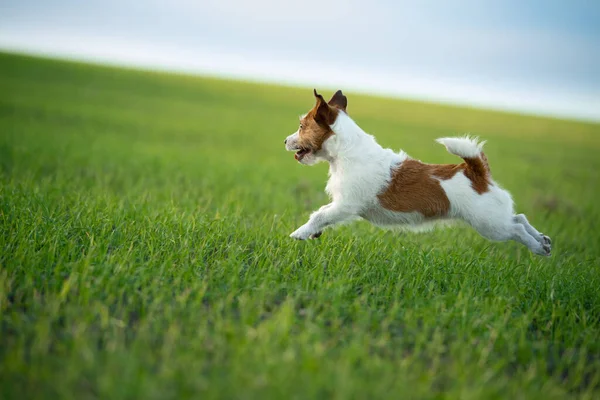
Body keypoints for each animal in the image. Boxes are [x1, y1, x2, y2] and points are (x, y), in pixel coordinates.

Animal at [286, 90, 552, 256]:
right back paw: (543, 240)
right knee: (520, 218)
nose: (285, 141)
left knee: (516, 229)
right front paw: (313, 233)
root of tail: (477, 173)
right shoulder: (341, 205)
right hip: (495, 219)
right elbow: (323, 214)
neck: (346, 151)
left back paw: (537, 247)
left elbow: (320, 215)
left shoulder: (346, 204)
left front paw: (299, 233)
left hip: (491, 225)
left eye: (301, 126)